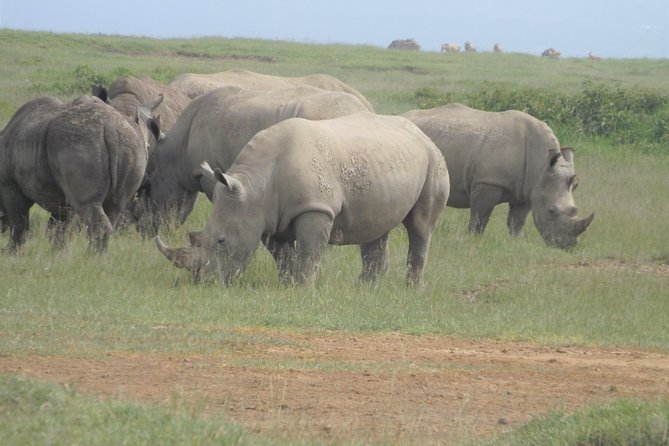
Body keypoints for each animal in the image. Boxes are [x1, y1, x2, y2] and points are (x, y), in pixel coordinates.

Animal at [0, 96, 159, 252]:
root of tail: (111, 129)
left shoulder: (9, 185)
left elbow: (19, 221)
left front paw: (11, 252)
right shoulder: (61, 198)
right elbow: (57, 228)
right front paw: (58, 253)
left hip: (81, 144)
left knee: (89, 204)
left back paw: (90, 256)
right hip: (132, 146)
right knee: (115, 206)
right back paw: (99, 255)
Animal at [155, 112, 450, 287]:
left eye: (222, 241)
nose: (203, 281)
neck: (255, 184)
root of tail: (421, 133)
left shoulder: (315, 208)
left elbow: (310, 251)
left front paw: (304, 289)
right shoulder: (266, 216)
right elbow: (282, 255)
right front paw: (287, 285)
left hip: (433, 159)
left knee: (420, 227)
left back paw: (411, 289)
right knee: (377, 228)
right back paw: (364, 288)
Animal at [403, 103, 594, 249]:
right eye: (551, 211)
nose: (568, 246)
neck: (540, 165)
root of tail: (404, 115)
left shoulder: (528, 190)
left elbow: (517, 221)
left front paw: (517, 241)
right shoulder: (488, 181)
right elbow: (480, 218)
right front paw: (475, 240)